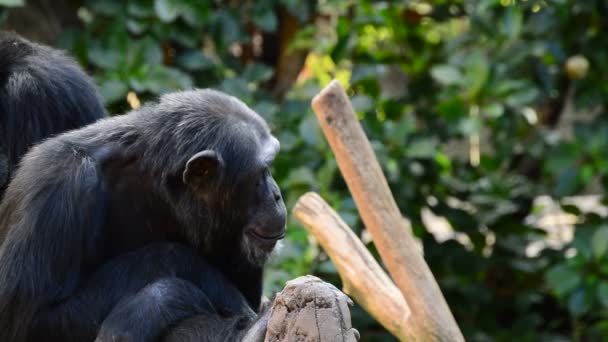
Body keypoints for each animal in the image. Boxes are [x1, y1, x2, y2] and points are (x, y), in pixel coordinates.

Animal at [0, 87, 288, 340]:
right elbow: (30, 319)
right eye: (262, 171)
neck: (158, 186)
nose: (276, 194)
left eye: (270, 166)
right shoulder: (59, 189)